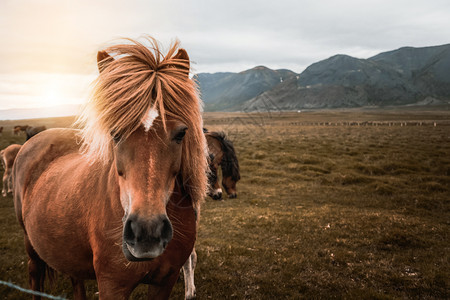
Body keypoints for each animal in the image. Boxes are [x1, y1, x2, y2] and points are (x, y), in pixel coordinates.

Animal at [13, 37, 207, 300]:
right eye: (115, 134)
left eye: (180, 133)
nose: (147, 232)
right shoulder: (112, 285)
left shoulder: (165, 281)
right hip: (30, 246)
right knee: (35, 275)